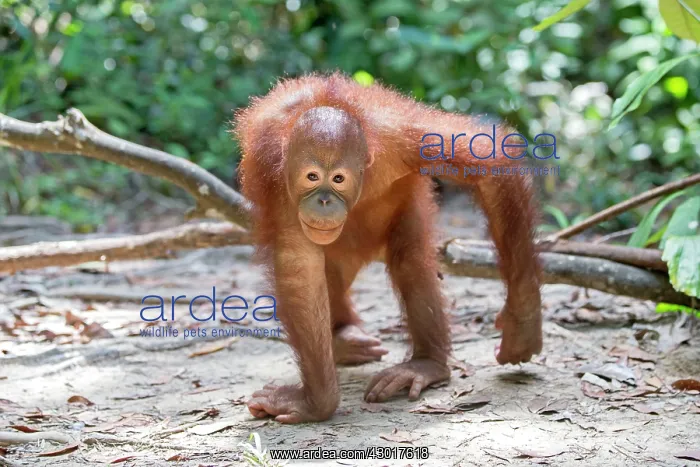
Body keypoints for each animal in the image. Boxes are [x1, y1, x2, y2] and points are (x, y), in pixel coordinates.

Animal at [233, 73, 542, 424]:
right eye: (312, 177)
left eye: (338, 179)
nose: (323, 201)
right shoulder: (278, 180)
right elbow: (299, 267)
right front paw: (318, 402)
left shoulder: (404, 136)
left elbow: (489, 165)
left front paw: (521, 327)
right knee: (330, 272)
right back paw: (344, 341)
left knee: (411, 261)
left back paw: (424, 366)